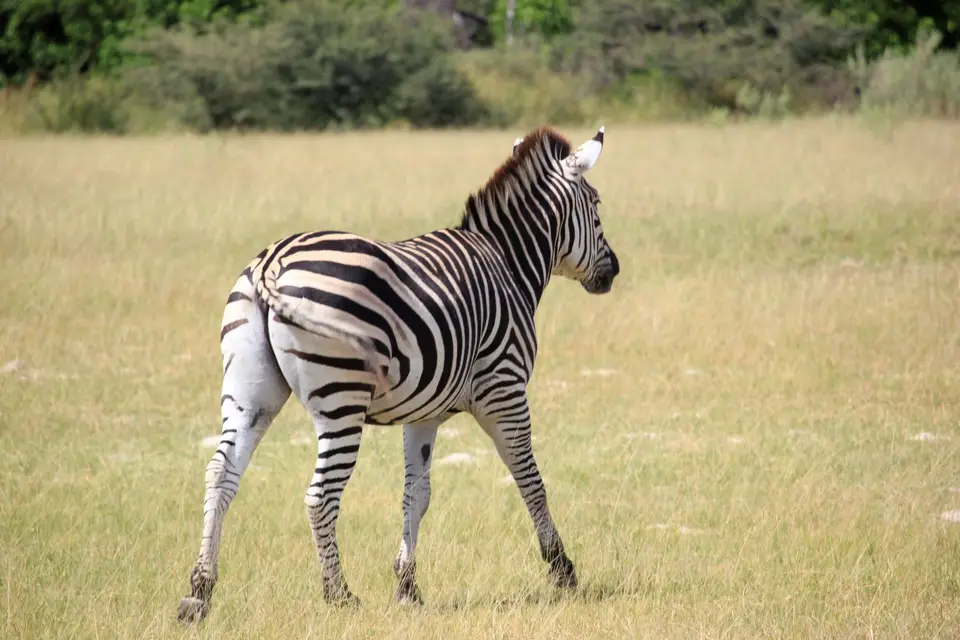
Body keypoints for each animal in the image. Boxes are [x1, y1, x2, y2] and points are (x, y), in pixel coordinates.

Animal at [177, 125, 620, 623]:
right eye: (597, 205)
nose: (614, 270)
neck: (508, 264)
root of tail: (272, 261)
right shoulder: (504, 390)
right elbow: (530, 478)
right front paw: (562, 569)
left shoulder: (424, 412)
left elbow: (417, 493)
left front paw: (408, 585)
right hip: (341, 399)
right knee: (319, 495)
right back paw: (338, 594)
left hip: (250, 393)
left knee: (221, 474)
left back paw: (200, 591)